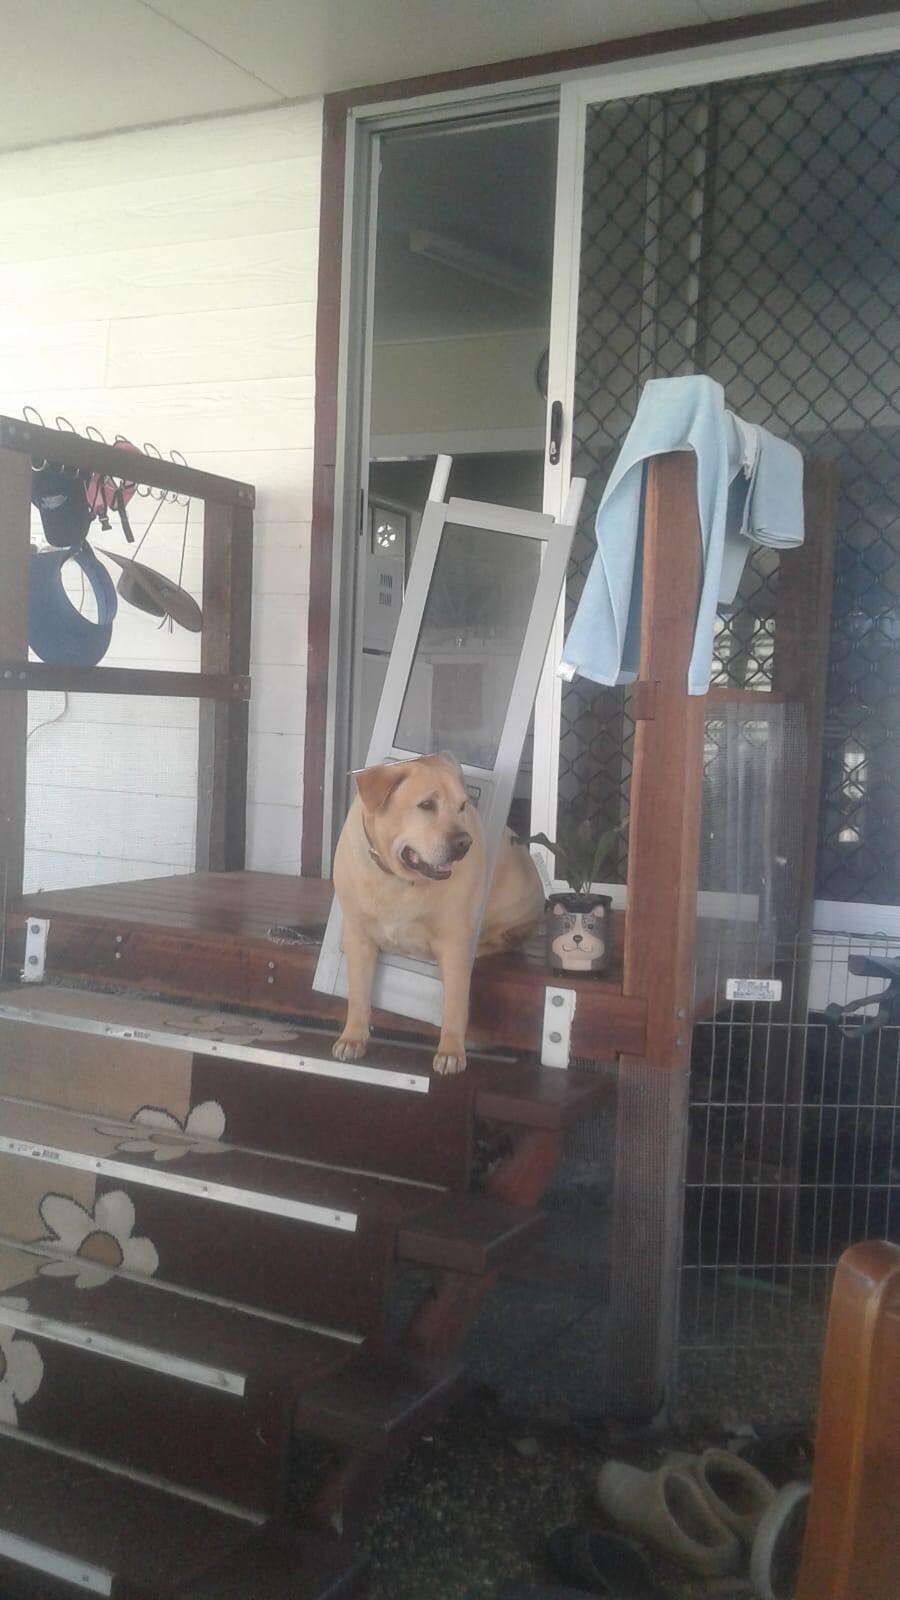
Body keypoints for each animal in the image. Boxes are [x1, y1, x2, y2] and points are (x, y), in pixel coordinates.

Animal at [329, 752, 538, 1075]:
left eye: (463, 806)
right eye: (427, 805)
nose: (464, 843)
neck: (399, 879)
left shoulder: (454, 942)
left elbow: (454, 1002)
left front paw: (451, 1050)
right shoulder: (359, 936)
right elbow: (359, 992)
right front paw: (353, 1037)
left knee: (505, 939)